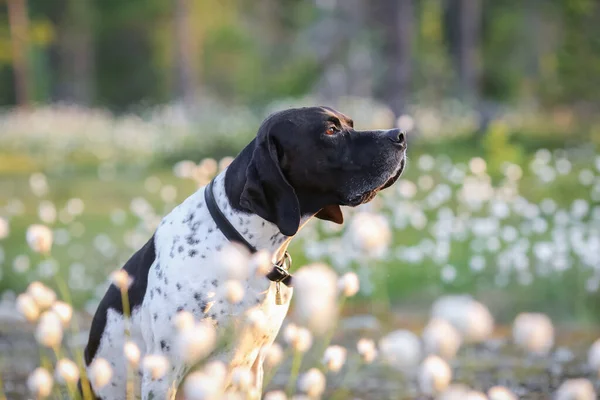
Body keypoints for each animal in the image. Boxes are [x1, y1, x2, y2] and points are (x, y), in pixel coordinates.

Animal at [82, 104, 406, 398]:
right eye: (330, 130)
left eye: (350, 123)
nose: (400, 135)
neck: (243, 251)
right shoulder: (165, 372)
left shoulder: (251, 367)